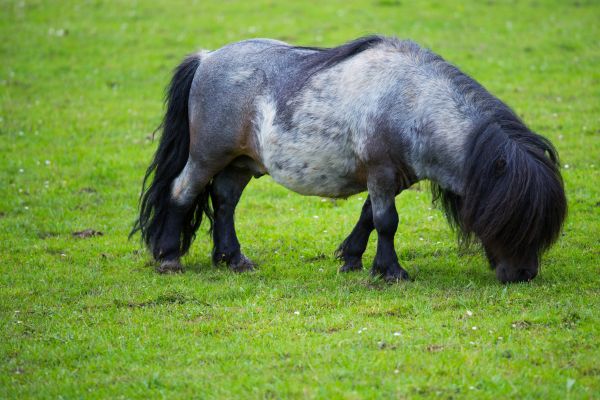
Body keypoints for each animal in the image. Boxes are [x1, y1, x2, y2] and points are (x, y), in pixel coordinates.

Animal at [131, 36, 568, 282]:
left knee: (223, 204)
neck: (409, 101)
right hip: (207, 156)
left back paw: (233, 259)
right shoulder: (381, 173)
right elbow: (387, 222)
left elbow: (369, 218)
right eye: (512, 219)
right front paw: (390, 272)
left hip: (240, 164)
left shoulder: (392, 179)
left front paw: (353, 259)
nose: (524, 275)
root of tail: (207, 58)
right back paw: (169, 257)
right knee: (181, 192)